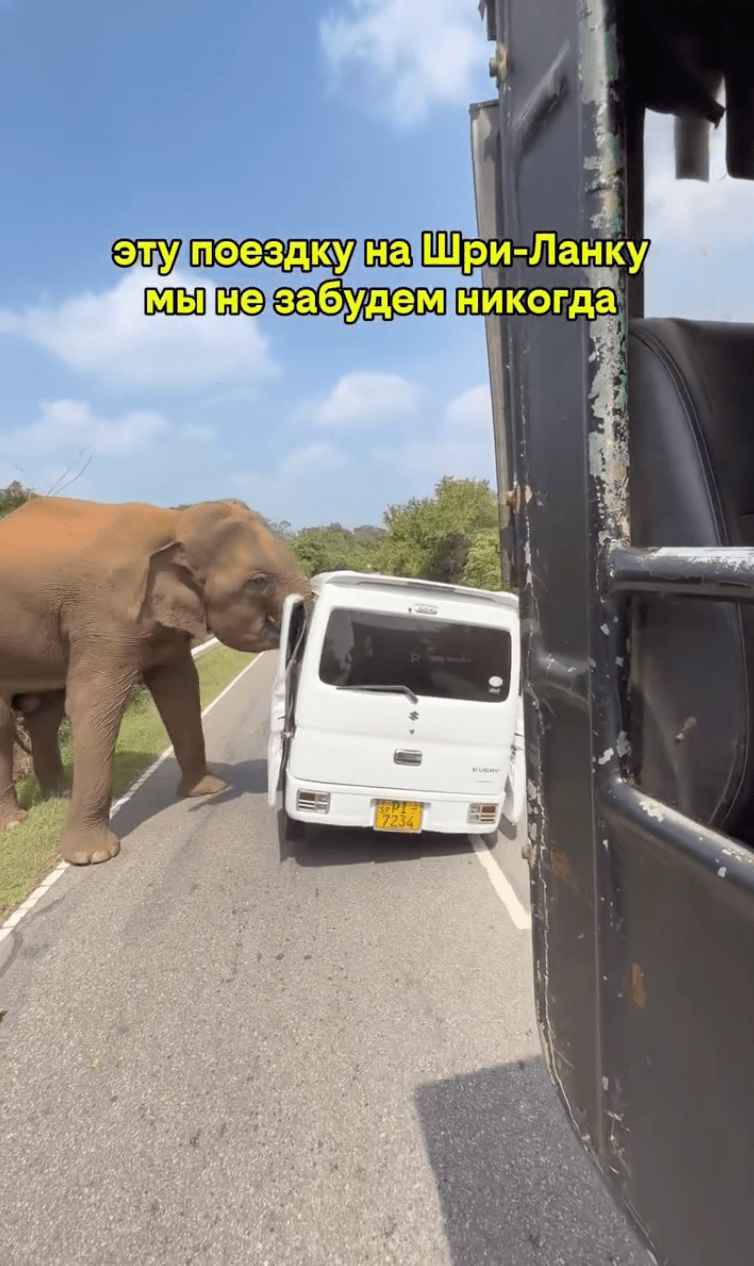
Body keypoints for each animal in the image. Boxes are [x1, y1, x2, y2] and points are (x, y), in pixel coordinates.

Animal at [0, 496, 312, 866]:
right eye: (258, 581)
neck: (174, 521)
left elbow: (180, 689)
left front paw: (209, 789)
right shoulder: (105, 614)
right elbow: (93, 703)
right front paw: (91, 857)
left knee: (44, 713)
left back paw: (60, 793)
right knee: (6, 721)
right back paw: (14, 821)